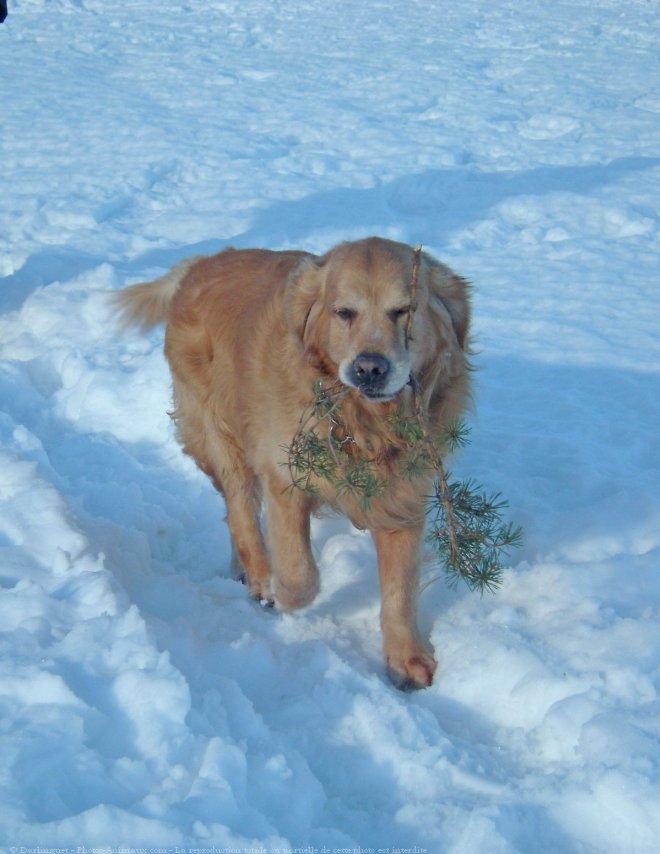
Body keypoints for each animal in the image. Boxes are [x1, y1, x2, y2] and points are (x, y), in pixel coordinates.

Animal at [117, 237, 470, 692]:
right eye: (344, 312)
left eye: (404, 310)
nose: (370, 368)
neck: (362, 423)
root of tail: (201, 263)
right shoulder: (285, 477)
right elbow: (301, 573)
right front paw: (281, 592)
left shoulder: (402, 497)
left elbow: (400, 589)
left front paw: (406, 657)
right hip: (220, 432)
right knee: (241, 513)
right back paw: (259, 575)